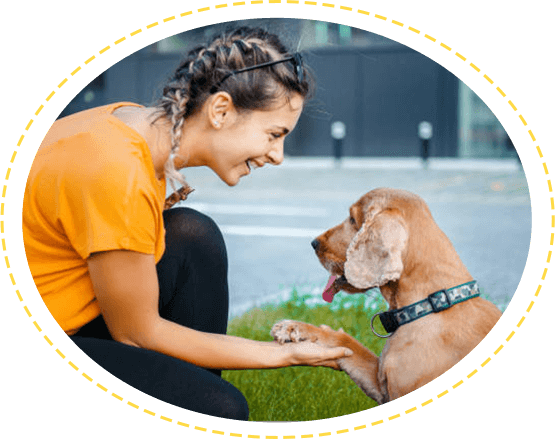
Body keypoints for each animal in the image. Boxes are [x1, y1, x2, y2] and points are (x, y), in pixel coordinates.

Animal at [271, 188, 502, 404]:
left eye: (353, 219)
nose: (314, 243)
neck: (428, 305)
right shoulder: (381, 384)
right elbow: (349, 343)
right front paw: (295, 328)